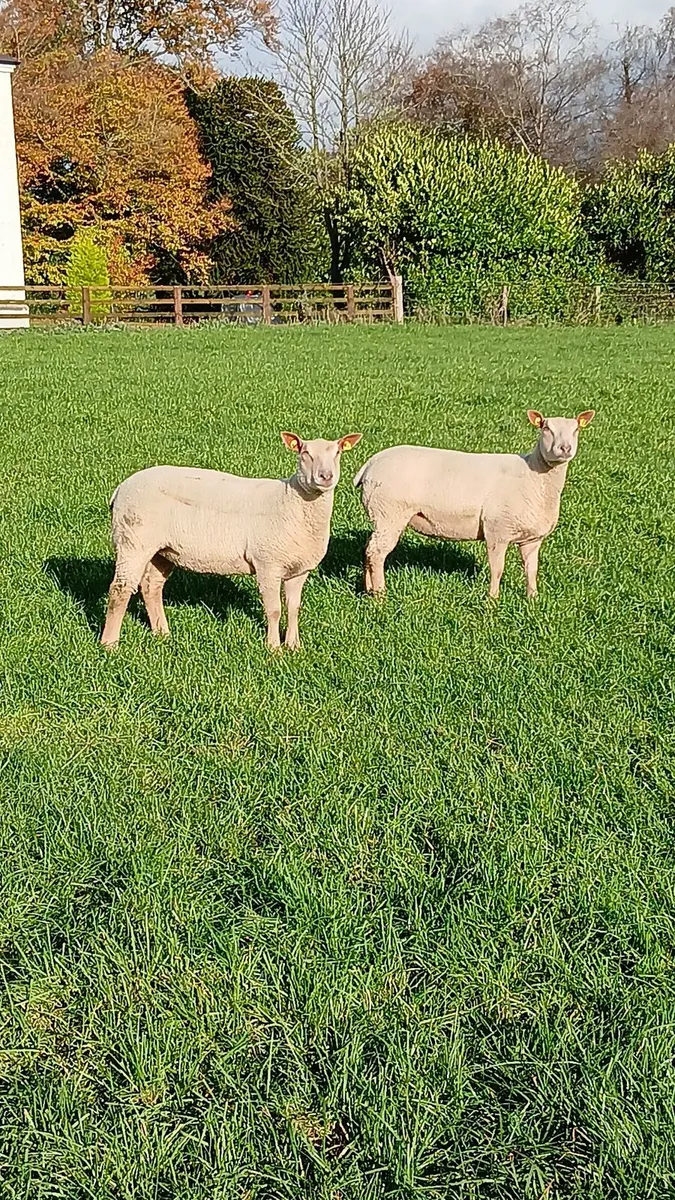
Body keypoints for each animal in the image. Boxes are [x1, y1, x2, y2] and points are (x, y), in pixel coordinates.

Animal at [101, 431, 362, 651]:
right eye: (305, 453)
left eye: (338, 452)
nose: (326, 476)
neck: (293, 501)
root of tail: (121, 488)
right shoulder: (267, 563)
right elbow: (274, 610)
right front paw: (274, 649)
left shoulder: (299, 568)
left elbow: (294, 608)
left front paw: (294, 646)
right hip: (133, 540)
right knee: (120, 589)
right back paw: (110, 644)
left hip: (162, 549)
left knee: (151, 586)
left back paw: (162, 634)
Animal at [353, 410, 595, 600]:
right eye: (546, 428)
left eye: (576, 430)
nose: (565, 448)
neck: (535, 476)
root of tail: (370, 465)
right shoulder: (497, 530)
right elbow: (497, 569)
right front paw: (492, 601)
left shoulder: (532, 539)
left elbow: (531, 570)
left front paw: (532, 599)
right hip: (390, 513)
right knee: (377, 552)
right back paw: (381, 595)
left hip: (380, 517)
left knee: (368, 549)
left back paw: (368, 590)